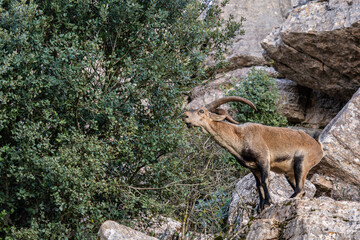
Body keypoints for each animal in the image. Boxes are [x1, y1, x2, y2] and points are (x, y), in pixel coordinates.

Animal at [183, 96, 324, 211]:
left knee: (300, 189)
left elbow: (264, 181)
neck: (240, 137)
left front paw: (268, 202)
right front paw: (260, 206)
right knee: (301, 190)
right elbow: (257, 185)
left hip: (302, 163)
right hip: (289, 173)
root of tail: (318, 147)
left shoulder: (263, 160)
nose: (185, 115)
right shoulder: (253, 167)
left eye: (201, 111)